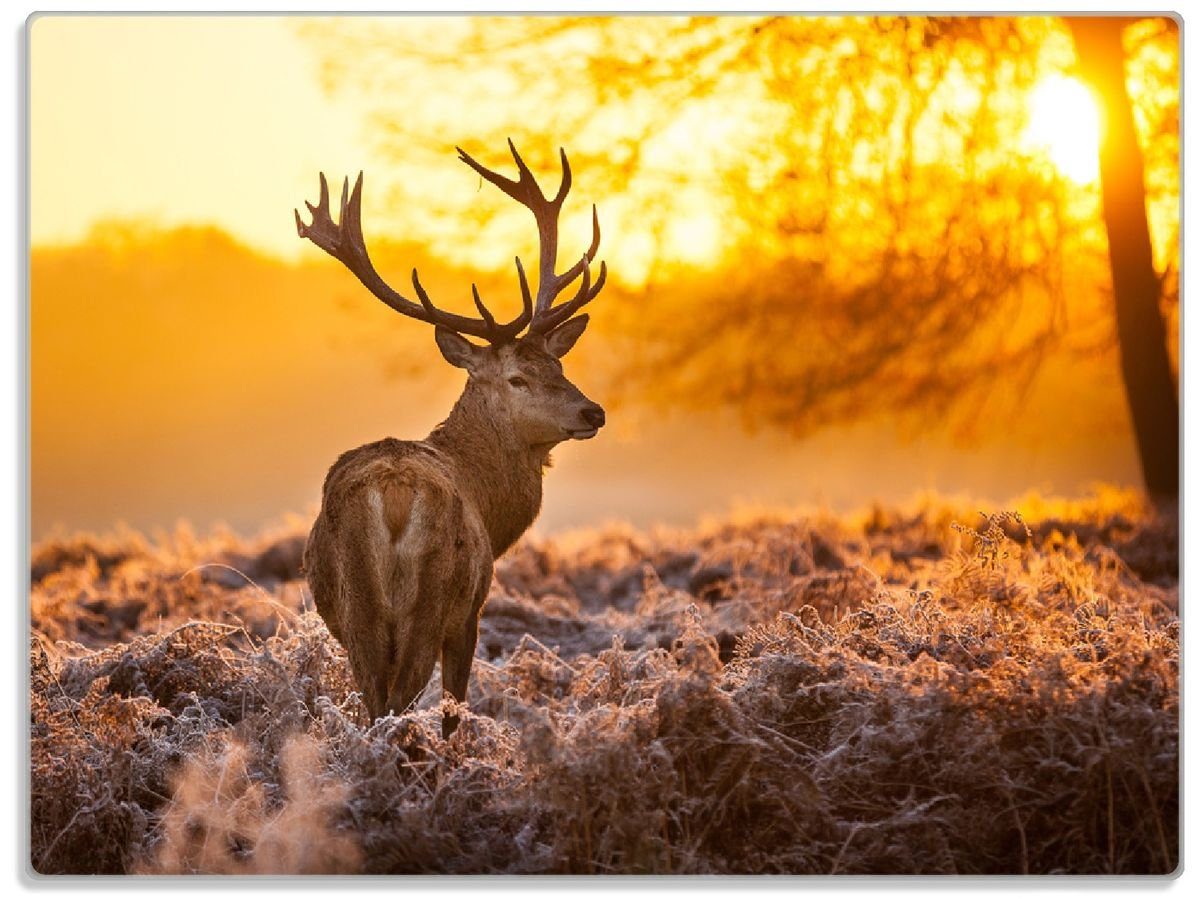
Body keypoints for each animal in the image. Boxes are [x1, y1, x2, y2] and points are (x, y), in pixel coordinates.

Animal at [291, 142, 609, 734]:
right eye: (517, 378)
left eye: (558, 364)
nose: (593, 411)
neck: (491, 505)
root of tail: (393, 495)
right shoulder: (471, 612)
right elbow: (455, 708)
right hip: (434, 598)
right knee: (401, 701)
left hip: (356, 609)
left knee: (374, 702)